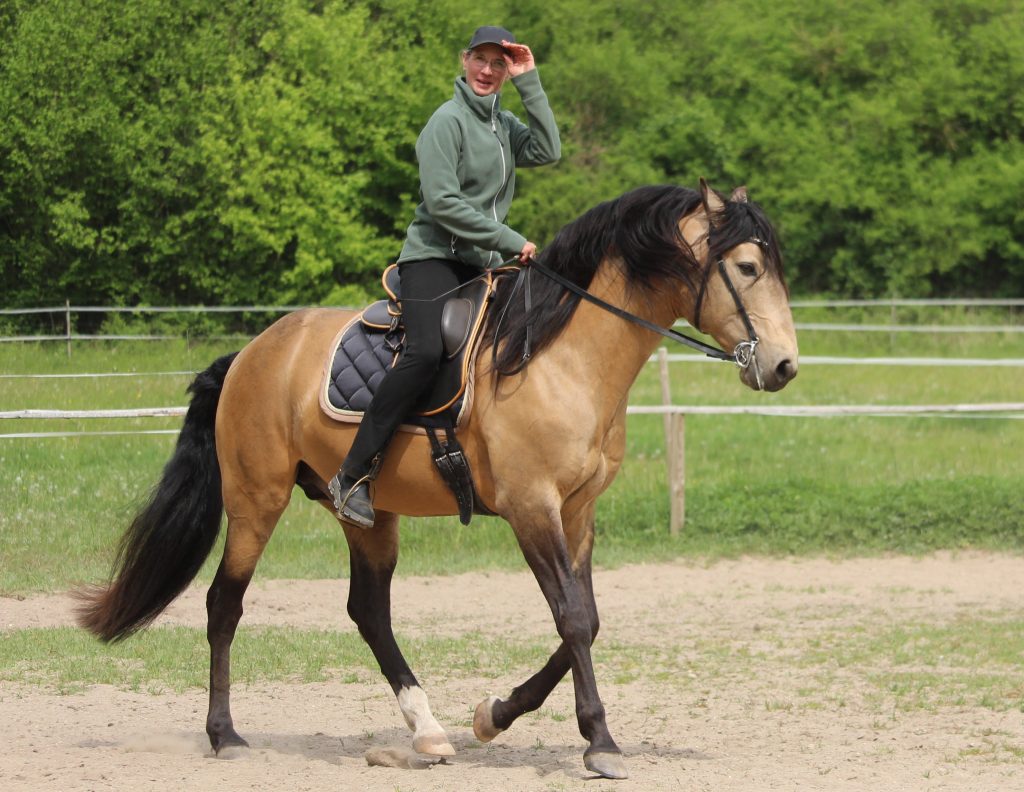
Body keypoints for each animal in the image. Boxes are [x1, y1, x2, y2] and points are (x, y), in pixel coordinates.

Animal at [76, 179, 798, 780]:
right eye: (747, 268)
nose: (785, 365)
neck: (561, 357)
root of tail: (253, 352)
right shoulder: (533, 508)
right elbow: (572, 619)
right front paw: (599, 743)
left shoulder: (577, 512)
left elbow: (586, 621)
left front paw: (494, 714)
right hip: (257, 500)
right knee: (224, 604)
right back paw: (224, 734)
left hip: (366, 516)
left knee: (368, 611)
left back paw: (427, 730)